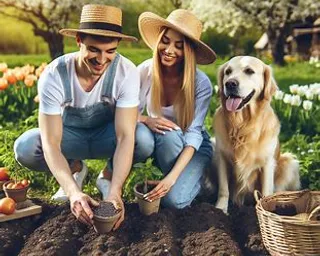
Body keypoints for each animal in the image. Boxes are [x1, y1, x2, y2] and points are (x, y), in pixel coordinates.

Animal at [215, 56, 300, 214]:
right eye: (228, 72)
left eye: (249, 71)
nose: (230, 83)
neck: (242, 124)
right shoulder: (222, 157)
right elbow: (223, 188)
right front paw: (219, 209)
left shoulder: (267, 163)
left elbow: (266, 191)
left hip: (289, 162)